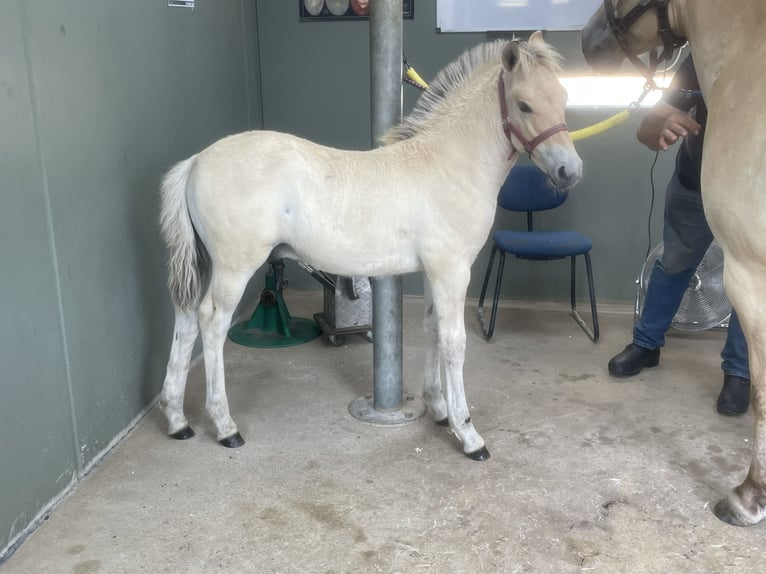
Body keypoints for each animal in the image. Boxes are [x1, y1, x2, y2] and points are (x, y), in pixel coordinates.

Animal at [159, 32, 584, 464]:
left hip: (207, 265)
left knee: (186, 319)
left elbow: (431, 329)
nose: (570, 171)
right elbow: (454, 343)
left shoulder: (434, 271)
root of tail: (196, 162)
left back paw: (178, 421)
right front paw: (468, 433)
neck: (449, 163)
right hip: (234, 268)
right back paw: (225, 426)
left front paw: (438, 409)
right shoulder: (452, 270)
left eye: (564, 96)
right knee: (212, 324)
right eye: (524, 104)